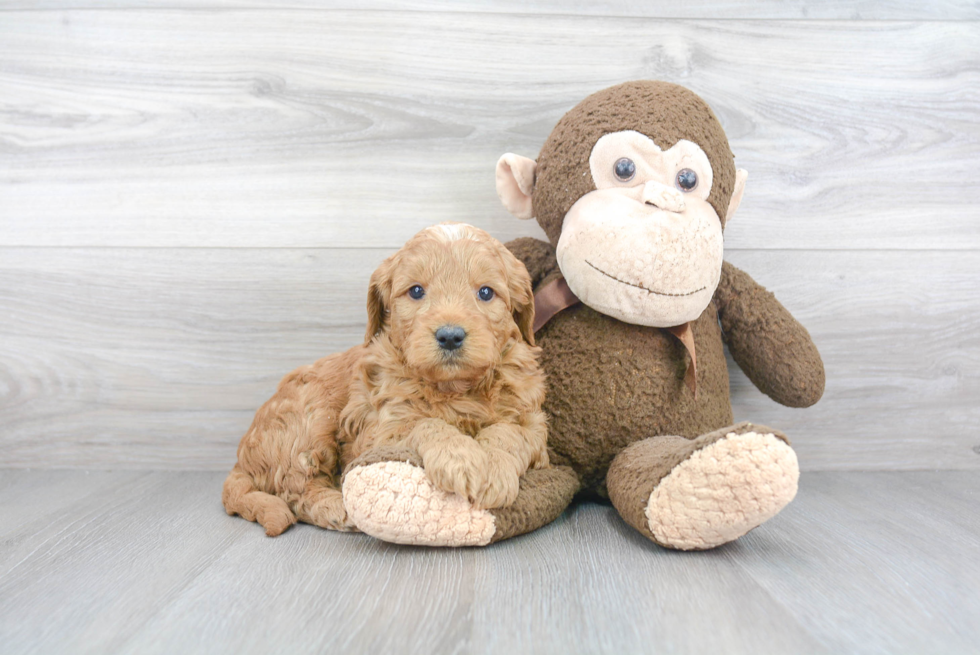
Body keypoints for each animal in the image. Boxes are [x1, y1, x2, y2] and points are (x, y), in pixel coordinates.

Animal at [220, 223, 552, 536]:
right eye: (416, 291)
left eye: (485, 292)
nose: (450, 336)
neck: (455, 388)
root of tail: (240, 459)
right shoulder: (380, 431)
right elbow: (427, 424)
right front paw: (460, 459)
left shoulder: (534, 423)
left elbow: (509, 432)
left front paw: (494, 469)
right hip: (307, 417)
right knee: (295, 489)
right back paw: (336, 507)